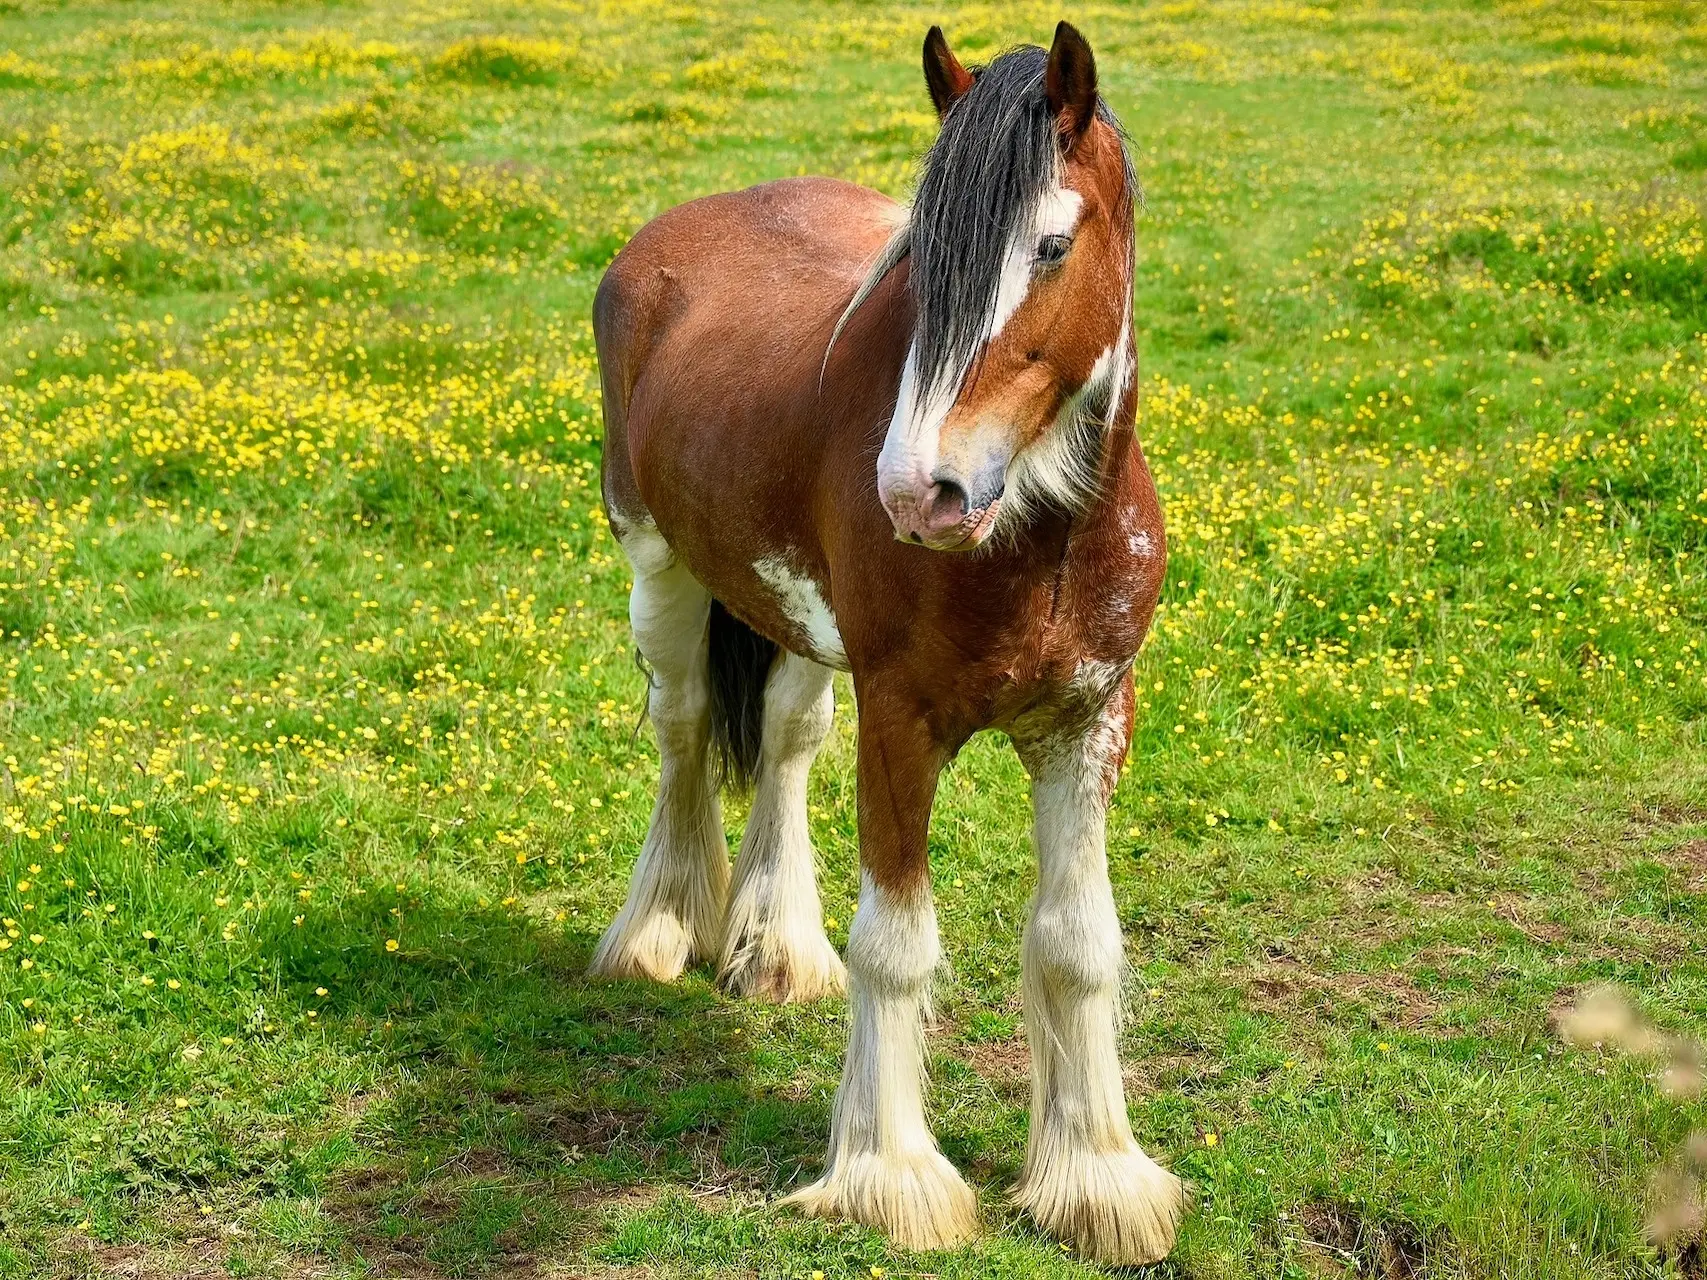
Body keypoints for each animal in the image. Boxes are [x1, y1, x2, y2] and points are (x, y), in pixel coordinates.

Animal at [587, 22, 1174, 1276]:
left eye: (1053, 244)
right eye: (922, 268)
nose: (919, 490)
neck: (1038, 534)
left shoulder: (1090, 720)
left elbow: (1078, 941)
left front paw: (1097, 1177)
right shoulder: (904, 721)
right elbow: (897, 943)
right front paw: (891, 1176)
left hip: (797, 619)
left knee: (789, 738)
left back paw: (773, 945)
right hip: (657, 563)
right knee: (683, 731)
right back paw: (661, 925)